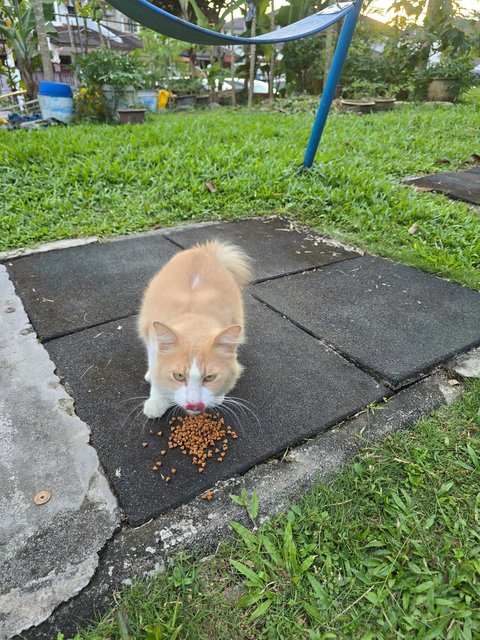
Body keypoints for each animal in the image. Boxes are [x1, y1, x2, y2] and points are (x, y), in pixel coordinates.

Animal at [138, 241, 253, 420]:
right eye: (178, 376)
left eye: (210, 377)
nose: (194, 404)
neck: (195, 317)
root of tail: (202, 250)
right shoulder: (152, 340)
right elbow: (156, 370)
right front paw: (156, 401)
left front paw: (217, 397)